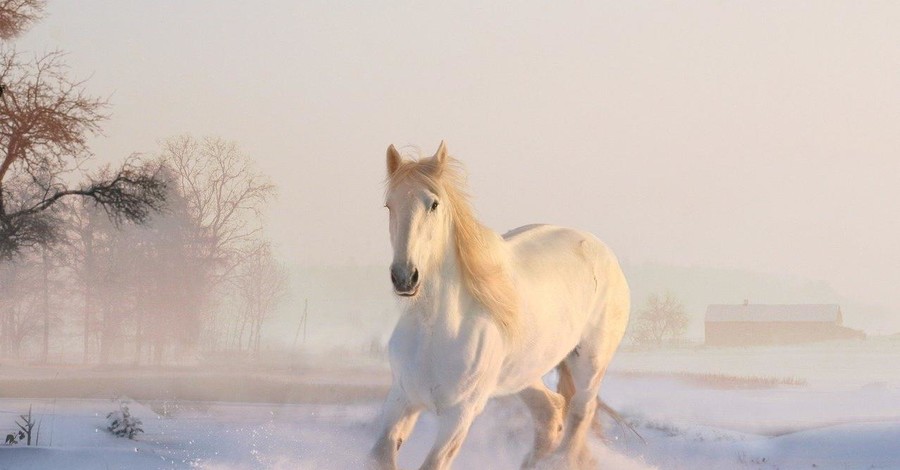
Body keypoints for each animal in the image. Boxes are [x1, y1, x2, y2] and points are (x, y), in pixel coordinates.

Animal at [370, 142, 628, 470]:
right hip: (524, 373)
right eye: (389, 205)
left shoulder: (460, 414)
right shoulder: (403, 398)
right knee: (550, 415)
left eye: (433, 204)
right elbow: (380, 455)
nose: (405, 277)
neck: (435, 332)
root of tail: (601, 249)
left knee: (579, 416)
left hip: (589, 365)